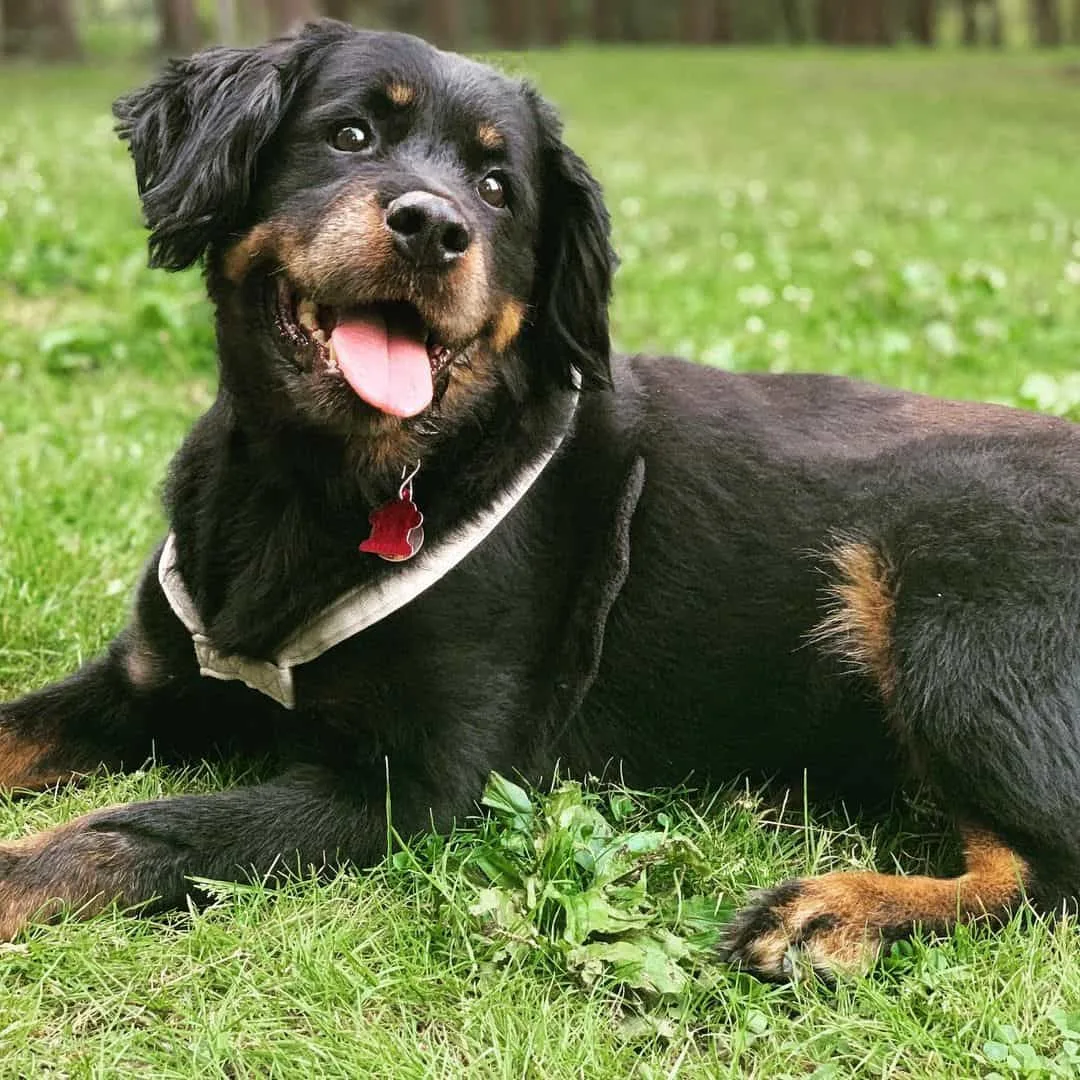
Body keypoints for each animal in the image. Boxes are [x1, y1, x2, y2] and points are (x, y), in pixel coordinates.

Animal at [2, 19, 1080, 980]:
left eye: (497, 188)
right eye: (348, 134)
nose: (434, 228)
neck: (317, 481)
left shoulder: (412, 788)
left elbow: (136, 830)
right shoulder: (148, 680)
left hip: (953, 611)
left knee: (1048, 871)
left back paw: (842, 910)